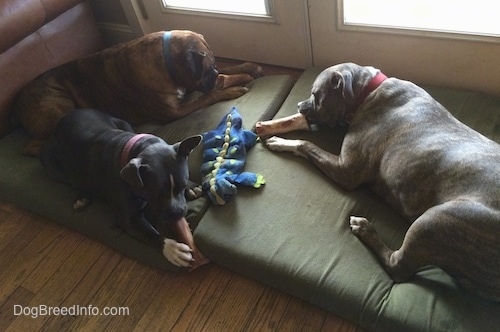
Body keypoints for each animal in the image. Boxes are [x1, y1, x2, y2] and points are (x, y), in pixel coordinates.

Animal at [14, 29, 262, 156]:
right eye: (206, 68)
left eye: (213, 65)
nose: (213, 74)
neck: (166, 61)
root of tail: (18, 104)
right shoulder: (175, 111)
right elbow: (211, 92)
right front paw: (234, 86)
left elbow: (229, 70)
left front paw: (249, 67)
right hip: (59, 106)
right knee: (32, 147)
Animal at [40, 109, 209, 270]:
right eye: (155, 194)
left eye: (183, 184)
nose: (178, 213)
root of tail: (66, 117)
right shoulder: (129, 220)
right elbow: (150, 233)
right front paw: (172, 249)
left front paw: (192, 186)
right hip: (51, 164)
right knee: (70, 179)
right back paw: (82, 197)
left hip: (123, 123)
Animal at [256, 63, 500, 304]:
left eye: (316, 95)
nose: (299, 105)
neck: (366, 91)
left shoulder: (346, 170)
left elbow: (306, 145)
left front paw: (280, 141)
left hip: (435, 220)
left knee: (398, 267)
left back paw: (365, 229)